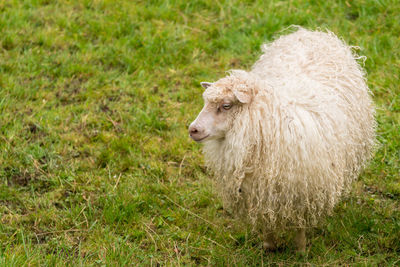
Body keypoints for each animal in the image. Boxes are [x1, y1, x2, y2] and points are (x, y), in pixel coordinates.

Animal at [189, 28, 376, 252]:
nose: (193, 129)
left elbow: (300, 225)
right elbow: (265, 221)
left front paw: (301, 250)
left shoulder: (303, 190)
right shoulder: (257, 191)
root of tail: (312, 32)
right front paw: (269, 245)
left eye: (226, 106)